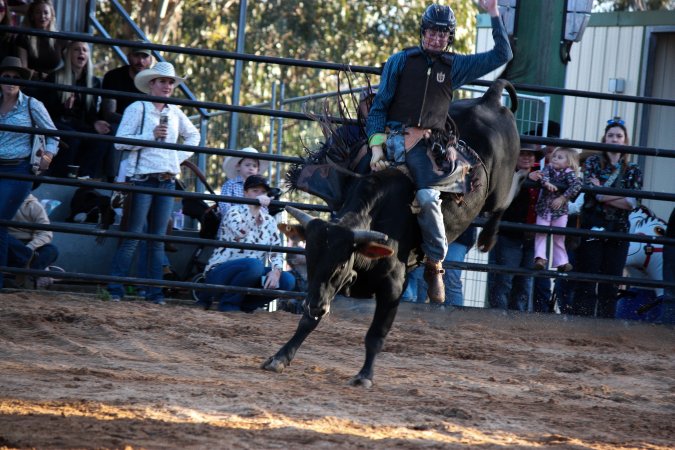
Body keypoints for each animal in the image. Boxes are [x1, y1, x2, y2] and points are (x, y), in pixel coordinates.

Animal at [262, 79, 521, 387]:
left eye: (340, 265)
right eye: (310, 261)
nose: (315, 306)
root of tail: (489, 99)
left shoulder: (393, 287)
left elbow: (376, 334)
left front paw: (364, 376)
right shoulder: (322, 289)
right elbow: (308, 322)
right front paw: (280, 357)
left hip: (498, 188)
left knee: (506, 198)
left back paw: (487, 238)